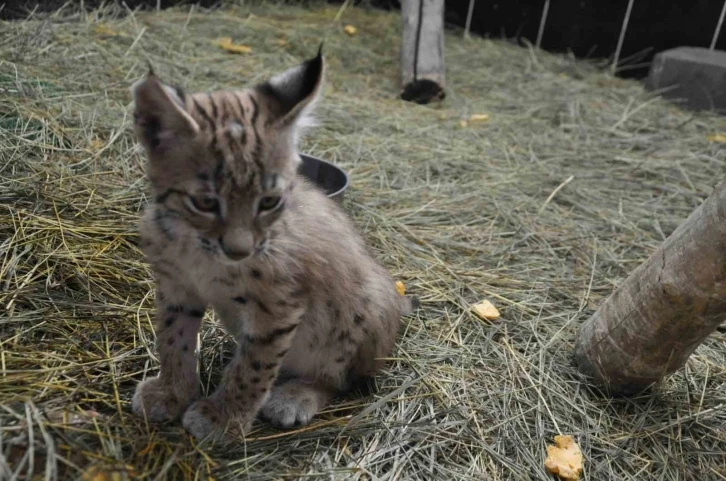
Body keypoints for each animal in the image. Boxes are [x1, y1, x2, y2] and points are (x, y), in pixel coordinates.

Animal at [131, 49, 420, 442]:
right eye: (205, 203)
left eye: (268, 201)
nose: (239, 251)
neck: (198, 248)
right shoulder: (176, 287)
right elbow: (173, 341)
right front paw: (171, 392)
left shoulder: (278, 307)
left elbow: (253, 367)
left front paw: (223, 417)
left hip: (363, 308)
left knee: (342, 381)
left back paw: (296, 396)